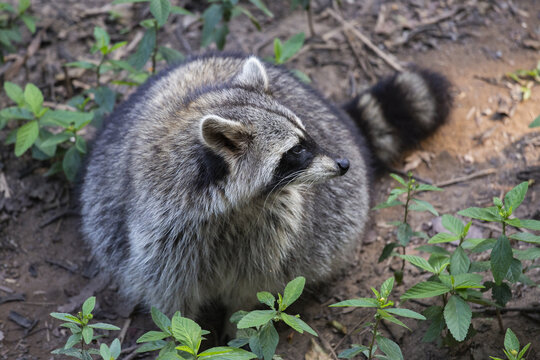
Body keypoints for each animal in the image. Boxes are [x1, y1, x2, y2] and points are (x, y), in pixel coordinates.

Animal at [80, 52, 452, 324]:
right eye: (295, 151)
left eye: (308, 136)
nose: (344, 164)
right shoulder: (164, 224)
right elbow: (171, 292)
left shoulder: (273, 222)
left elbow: (253, 285)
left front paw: (239, 329)